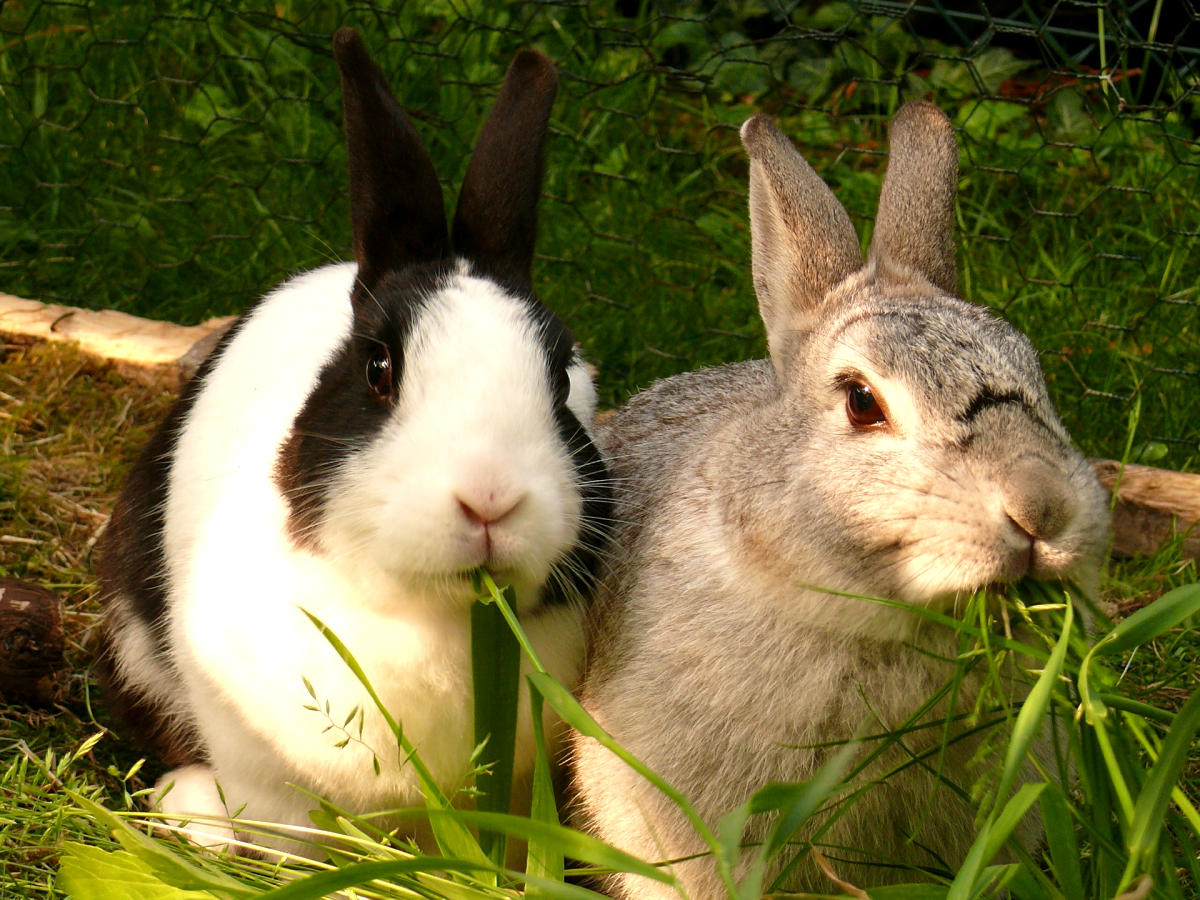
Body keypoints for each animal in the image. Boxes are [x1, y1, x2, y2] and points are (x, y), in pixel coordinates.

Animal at [96, 27, 611, 858]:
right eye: (379, 370)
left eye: (563, 377)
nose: (491, 499)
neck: (431, 616)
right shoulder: (270, 777)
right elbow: (286, 842)